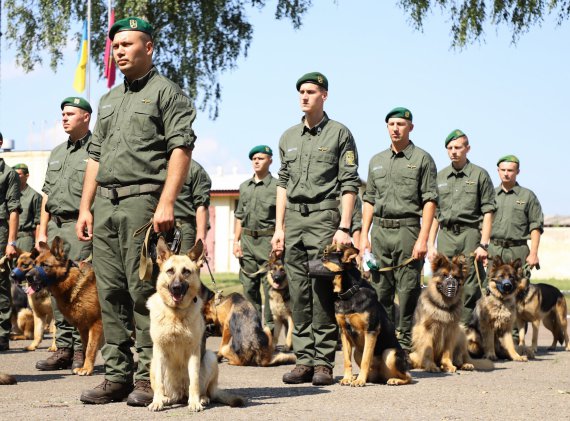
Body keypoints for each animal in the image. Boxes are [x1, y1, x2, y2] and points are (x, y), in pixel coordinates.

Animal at [27, 236, 103, 374]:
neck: (70, 280)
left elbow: (90, 348)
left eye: (45, 265)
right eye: (34, 264)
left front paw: (86, 368)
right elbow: (85, 347)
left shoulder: (96, 324)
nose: (27, 276)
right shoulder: (83, 327)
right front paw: (84, 366)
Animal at [145, 238, 243, 412]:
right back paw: (166, 399)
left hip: (210, 357)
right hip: (153, 362)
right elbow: (159, 383)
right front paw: (157, 401)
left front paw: (195, 402)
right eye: (170, 271)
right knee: (168, 390)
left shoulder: (194, 352)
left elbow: (195, 381)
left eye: (186, 272)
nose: (176, 288)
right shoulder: (159, 351)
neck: (175, 314)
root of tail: (180, 393)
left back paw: (201, 398)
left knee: (205, 390)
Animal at [320, 241, 408, 386]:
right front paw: (348, 378)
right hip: (357, 352)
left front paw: (360, 381)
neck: (349, 293)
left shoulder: (371, 331)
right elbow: (347, 360)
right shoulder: (344, 332)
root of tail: (380, 376)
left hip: (390, 353)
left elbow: (366, 360)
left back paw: (394, 379)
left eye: (325, 260)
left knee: (408, 376)